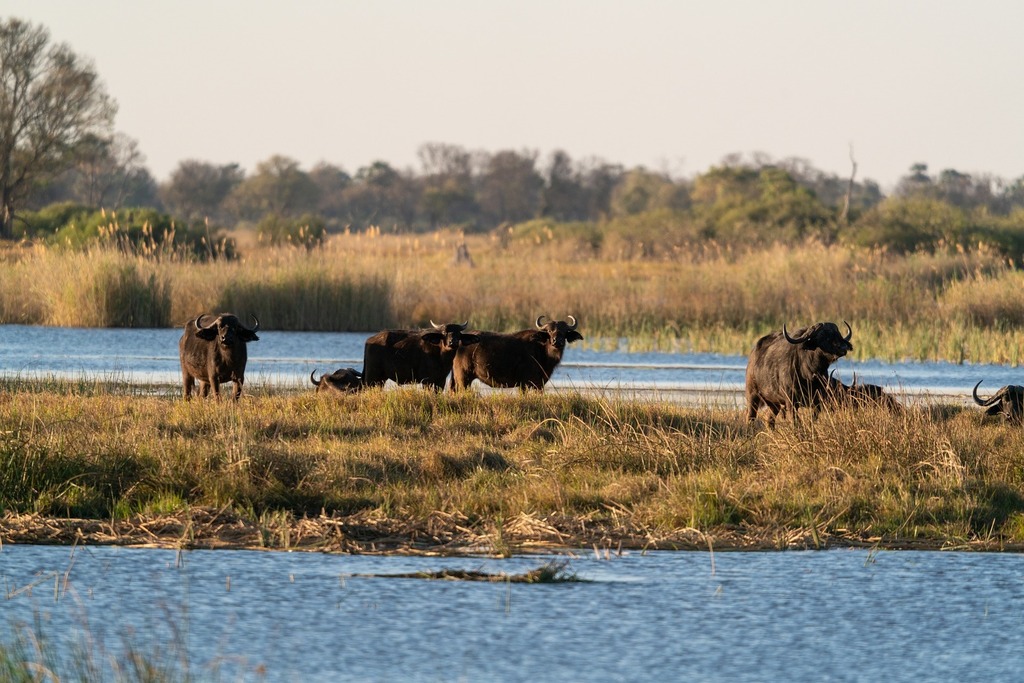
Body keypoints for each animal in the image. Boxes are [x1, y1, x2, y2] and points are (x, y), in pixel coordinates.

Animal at [450, 313, 581, 389]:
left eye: (564, 332)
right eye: (549, 331)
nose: (556, 341)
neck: (542, 351)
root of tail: (460, 343)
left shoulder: (539, 385)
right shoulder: (524, 383)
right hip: (463, 377)